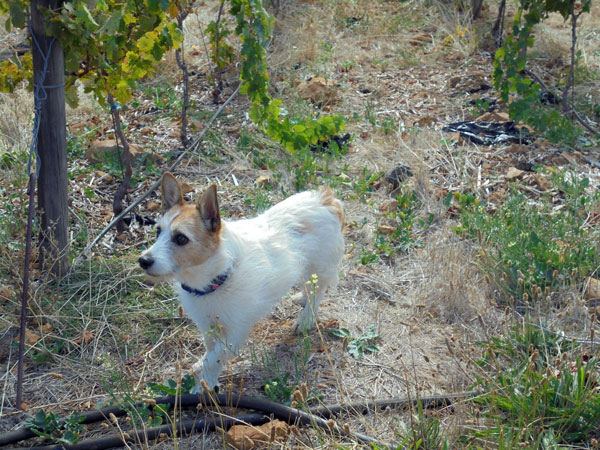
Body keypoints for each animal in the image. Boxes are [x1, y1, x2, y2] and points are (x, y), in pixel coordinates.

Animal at [139, 174, 342, 392]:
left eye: (181, 238)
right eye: (157, 231)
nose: (143, 261)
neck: (219, 276)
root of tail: (326, 198)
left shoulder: (234, 332)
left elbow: (214, 359)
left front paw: (203, 386)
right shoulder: (207, 325)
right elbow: (210, 349)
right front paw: (202, 368)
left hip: (319, 267)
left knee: (318, 290)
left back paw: (306, 319)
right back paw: (302, 297)